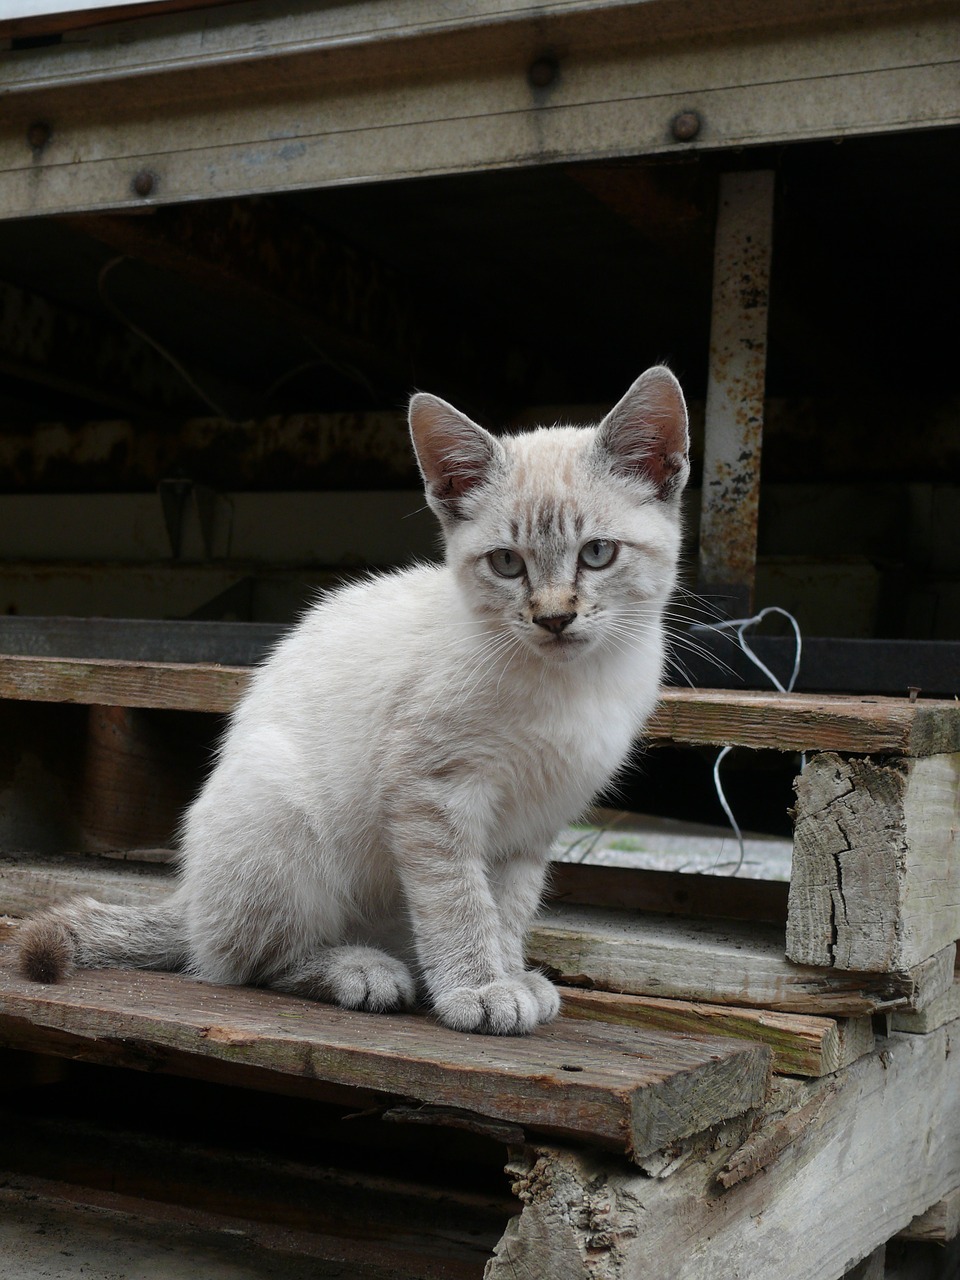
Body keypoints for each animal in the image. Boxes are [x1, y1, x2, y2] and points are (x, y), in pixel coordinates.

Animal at [16, 366, 691, 1034]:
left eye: (597, 553)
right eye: (506, 563)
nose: (553, 619)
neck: (572, 685)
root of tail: (190, 898)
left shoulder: (533, 822)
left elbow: (507, 909)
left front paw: (510, 975)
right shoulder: (431, 792)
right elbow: (459, 902)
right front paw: (479, 988)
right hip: (279, 814)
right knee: (238, 961)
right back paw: (360, 971)